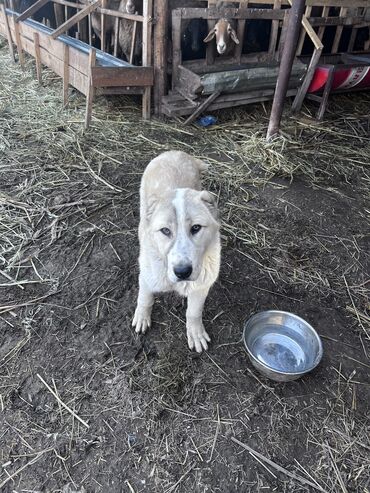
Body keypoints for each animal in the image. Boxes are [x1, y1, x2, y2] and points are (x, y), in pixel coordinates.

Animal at [132, 152, 221, 352]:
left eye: (196, 228)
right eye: (165, 231)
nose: (182, 272)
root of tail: (175, 152)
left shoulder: (201, 286)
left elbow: (193, 312)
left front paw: (195, 333)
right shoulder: (146, 278)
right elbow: (144, 298)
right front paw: (142, 317)